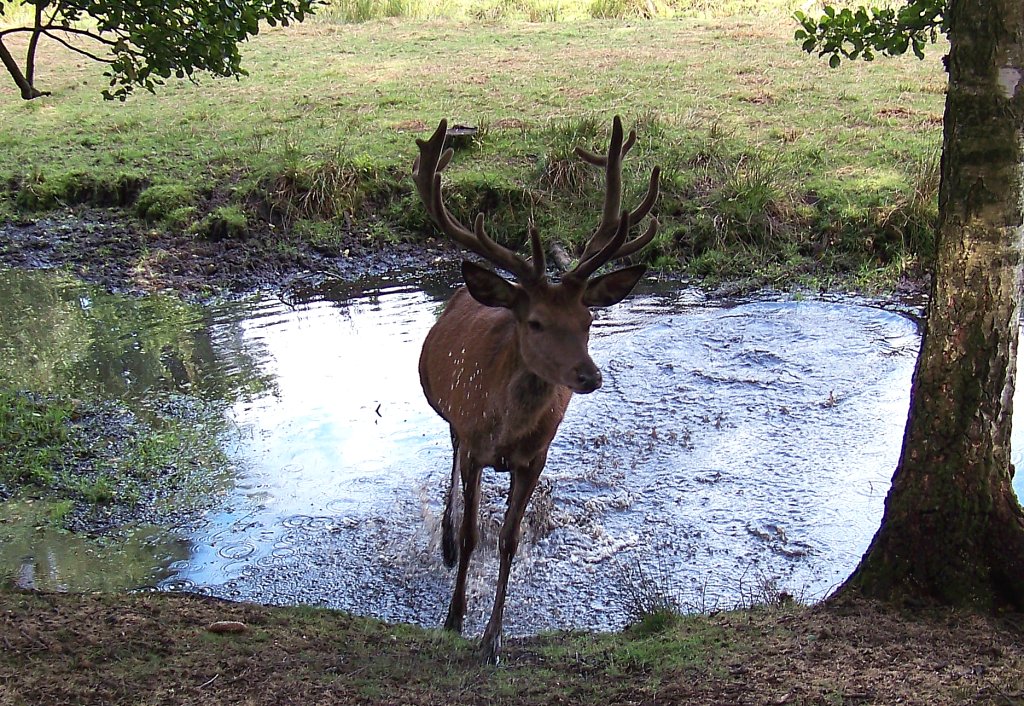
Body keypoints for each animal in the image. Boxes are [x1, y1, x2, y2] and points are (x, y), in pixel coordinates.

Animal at [411, 114, 659, 659]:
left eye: (589, 320)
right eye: (537, 323)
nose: (589, 376)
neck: (505, 429)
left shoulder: (536, 456)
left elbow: (508, 538)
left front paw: (493, 637)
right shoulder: (474, 442)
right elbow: (473, 531)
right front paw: (454, 618)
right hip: (449, 418)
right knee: (450, 464)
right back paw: (444, 541)